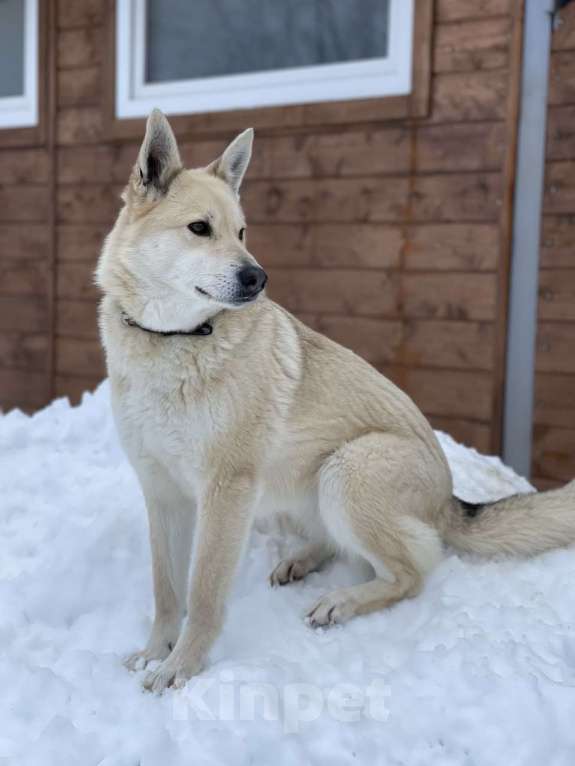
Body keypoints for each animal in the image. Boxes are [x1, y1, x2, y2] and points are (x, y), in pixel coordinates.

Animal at [97, 109, 572, 696]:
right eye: (199, 228)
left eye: (242, 232)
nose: (258, 277)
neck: (174, 340)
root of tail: (449, 501)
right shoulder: (162, 491)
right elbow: (167, 591)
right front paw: (153, 653)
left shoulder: (226, 490)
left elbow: (204, 595)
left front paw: (181, 668)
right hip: (296, 485)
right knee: (339, 543)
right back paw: (301, 562)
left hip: (346, 470)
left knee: (413, 571)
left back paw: (340, 602)